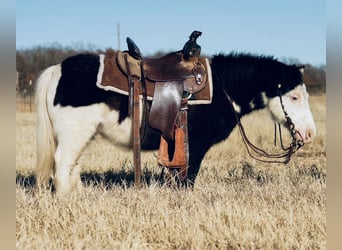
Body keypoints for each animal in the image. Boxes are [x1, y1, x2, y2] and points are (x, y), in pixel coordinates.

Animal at [34, 51, 316, 194]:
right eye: (293, 96)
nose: (310, 133)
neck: (223, 86)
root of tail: (57, 69)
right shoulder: (197, 144)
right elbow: (188, 176)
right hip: (74, 133)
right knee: (62, 164)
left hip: (83, 135)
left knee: (73, 165)